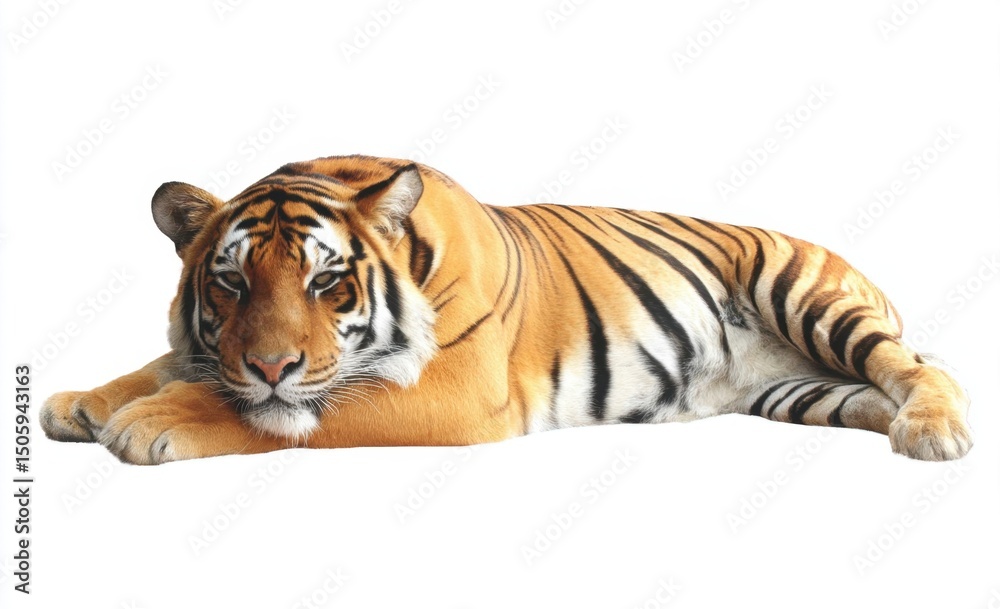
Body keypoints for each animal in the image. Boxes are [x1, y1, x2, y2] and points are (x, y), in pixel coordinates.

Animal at [40, 154, 972, 465]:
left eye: (327, 284)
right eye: (230, 284)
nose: (271, 363)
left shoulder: (451, 390)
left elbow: (285, 411)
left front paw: (152, 420)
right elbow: (164, 361)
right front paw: (80, 403)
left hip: (804, 290)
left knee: (918, 366)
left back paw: (934, 431)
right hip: (801, 389)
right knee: (874, 391)